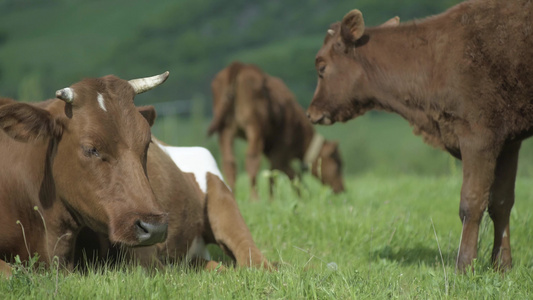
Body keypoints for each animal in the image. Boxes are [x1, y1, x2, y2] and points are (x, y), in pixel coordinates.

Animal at [206, 61, 342, 198]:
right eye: (338, 164)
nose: (342, 189)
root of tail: (239, 65)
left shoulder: (272, 151)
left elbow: (288, 173)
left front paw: (302, 196)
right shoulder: (281, 148)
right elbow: (278, 172)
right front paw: (275, 199)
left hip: (226, 129)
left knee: (229, 162)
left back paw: (231, 194)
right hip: (254, 125)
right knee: (252, 159)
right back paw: (254, 198)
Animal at [306, 0, 532, 272]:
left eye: (322, 67)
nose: (311, 112)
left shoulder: (478, 135)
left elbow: (472, 201)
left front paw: (464, 265)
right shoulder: (509, 141)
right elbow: (501, 202)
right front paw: (502, 266)